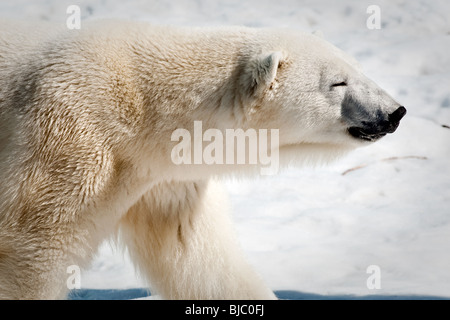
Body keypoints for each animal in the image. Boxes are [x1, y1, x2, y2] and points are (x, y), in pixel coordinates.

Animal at [0, 20, 406, 300]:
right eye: (338, 82)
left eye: (356, 67)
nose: (395, 111)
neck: (142, 111)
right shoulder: (69, 139)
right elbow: (31, 248)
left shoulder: (165, 177)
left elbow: (198, 256)